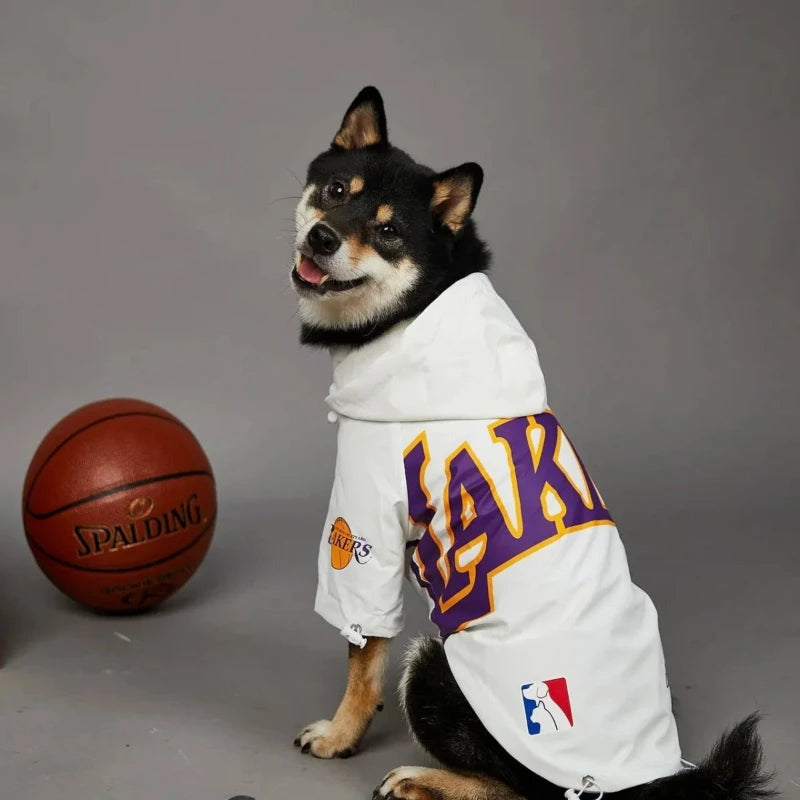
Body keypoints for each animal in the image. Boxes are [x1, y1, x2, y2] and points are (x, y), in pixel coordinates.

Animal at [288, 86, 776, 800]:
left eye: (388, 231)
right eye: (334, 189)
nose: (321, 237)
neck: (417, 313)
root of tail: (639, 781)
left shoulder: (362, 529)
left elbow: (363, 655)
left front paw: (339, 734)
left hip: (435, 663)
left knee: (523, 790)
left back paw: (420, 778)